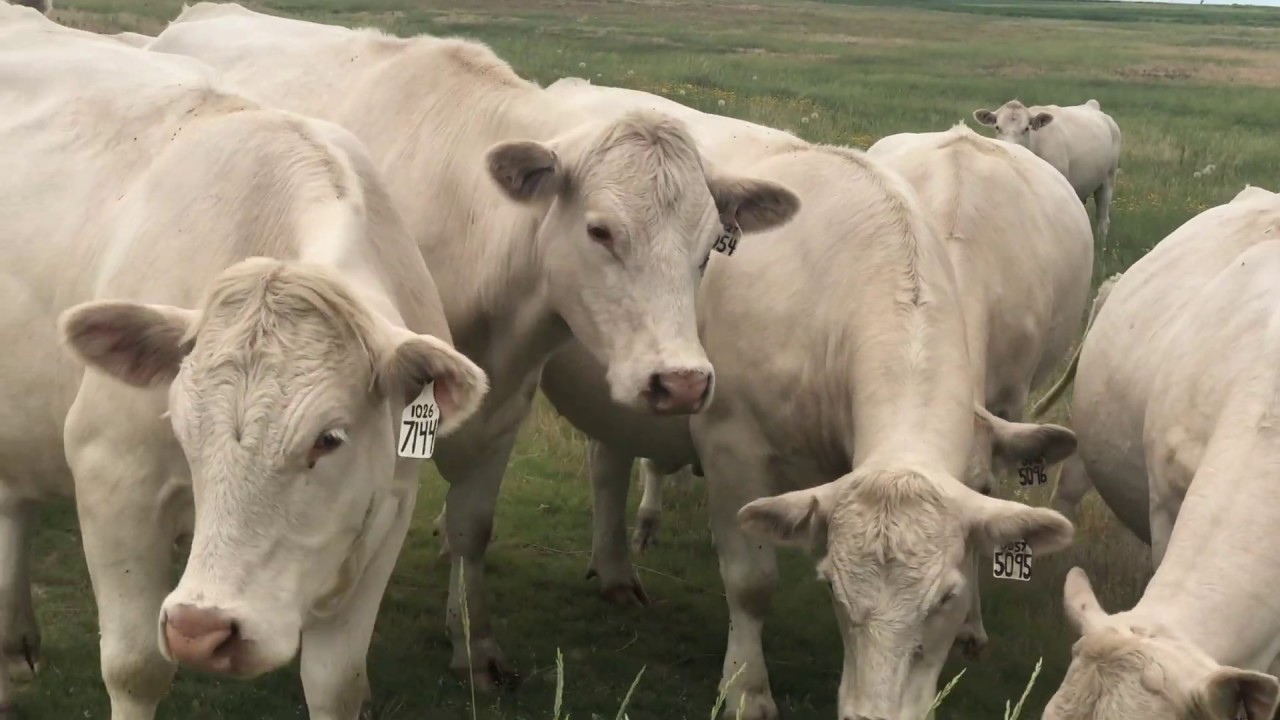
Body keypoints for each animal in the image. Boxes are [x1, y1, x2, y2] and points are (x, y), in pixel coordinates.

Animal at [0, 7, 486, 717]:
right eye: (181, 429)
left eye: (329, 438)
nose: (202, 630)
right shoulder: (111, 476)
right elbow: (136, 667)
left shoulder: (388, 509)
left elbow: (337, 682)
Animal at [145, 1, 793, 681]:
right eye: (601, 230)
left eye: (711, 246)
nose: (683, 382)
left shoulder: (504, 405)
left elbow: (473, 526)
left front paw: (474, 643)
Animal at [532, 82, 1080, 712]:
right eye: (832, 586)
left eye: (945, 596)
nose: (875, 714)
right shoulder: (730, 446)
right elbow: (751, 583)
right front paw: (746, 689)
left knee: (607, 460)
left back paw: (615, 569)